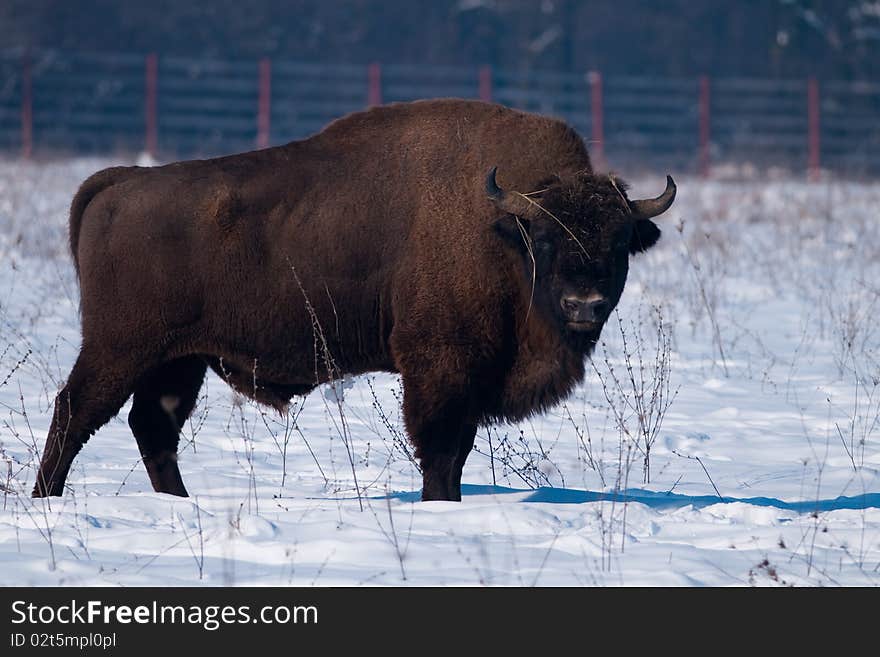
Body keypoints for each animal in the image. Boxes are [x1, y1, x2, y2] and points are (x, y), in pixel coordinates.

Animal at [32, 97, 672, 500]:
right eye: (544, 237)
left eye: (620, 241)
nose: (584, 304)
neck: (501, 229)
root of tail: (118, 182)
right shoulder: (440, 370)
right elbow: (442, 451)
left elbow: (455, 451)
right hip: (121, 349)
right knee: (75, 413)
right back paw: (47, 499)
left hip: (177, 360)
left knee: (151, 426)